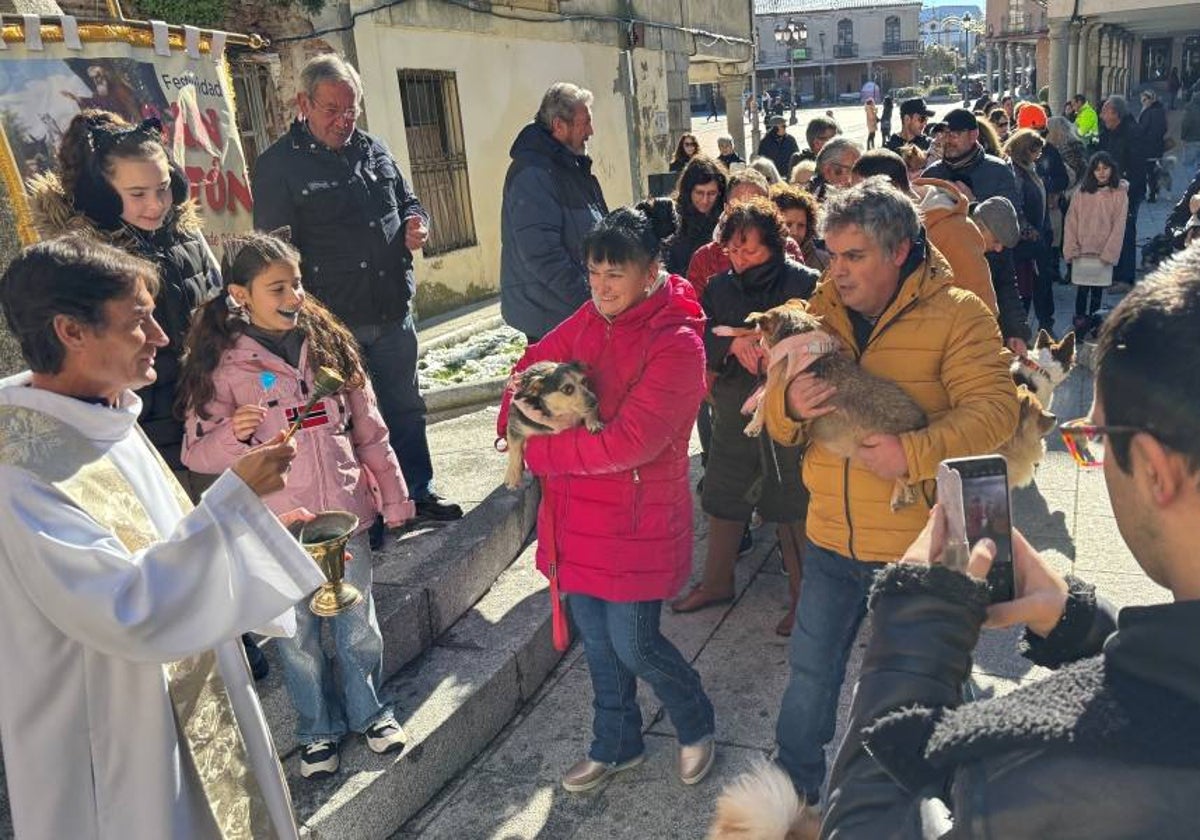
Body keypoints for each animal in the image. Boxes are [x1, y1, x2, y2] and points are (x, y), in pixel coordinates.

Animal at [504, 357, 604, 489]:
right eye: (568, 389)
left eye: (584, 381)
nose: (595, 402)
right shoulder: (515, 422)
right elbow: (514, 449)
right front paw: (513, 475)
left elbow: (588, 412)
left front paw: (593, 422)